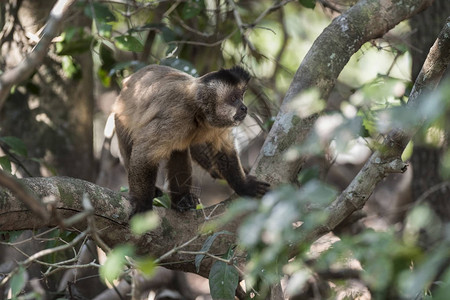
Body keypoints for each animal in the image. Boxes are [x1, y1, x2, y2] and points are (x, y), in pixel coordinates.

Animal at [114, 64, 270, 214]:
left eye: (242, 96)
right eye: (233, 99)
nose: (244, 108)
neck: (199, 112)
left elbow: (224, 151)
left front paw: (244, 186)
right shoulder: (176, 116)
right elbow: (144, 155)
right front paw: (142, 204)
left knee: (179, 150)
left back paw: (181, 200)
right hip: (120, 118)